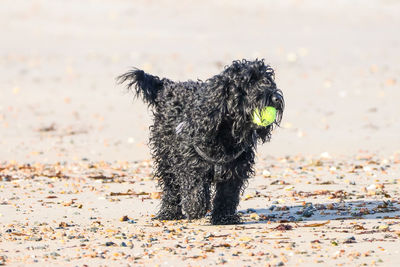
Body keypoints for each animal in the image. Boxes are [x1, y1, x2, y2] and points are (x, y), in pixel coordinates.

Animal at [117, 59, 282, 225]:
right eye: (250, 82)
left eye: (269, 81)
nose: (276, 98)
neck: (226, 132)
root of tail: (168, 86)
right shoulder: (191, 163)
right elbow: (195, 188)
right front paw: (195, 208)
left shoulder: (235, 170)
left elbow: (227, 196)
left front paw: (224, 217)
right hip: (166, 156)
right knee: (171, 187)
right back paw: (169, 213)